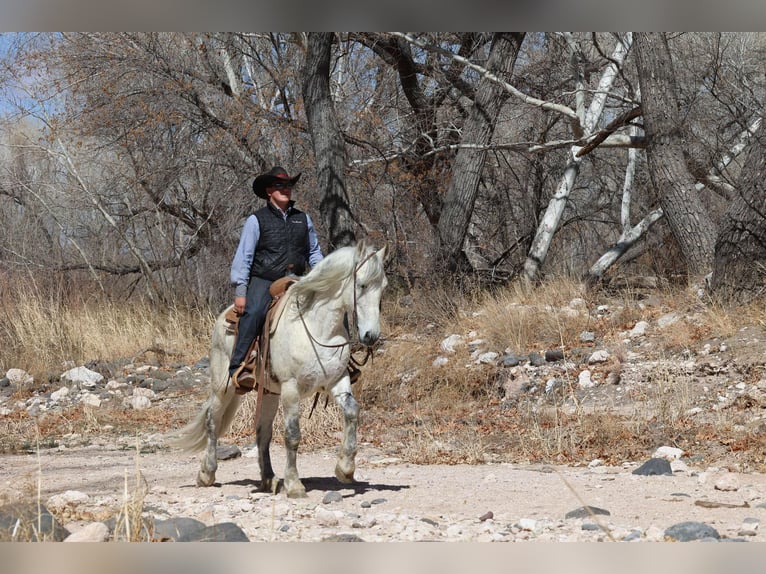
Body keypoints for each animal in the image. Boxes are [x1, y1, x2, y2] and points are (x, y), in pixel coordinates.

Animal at [168, 239, 388, 498]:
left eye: (383, 287)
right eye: (361, 285)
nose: (371, 336)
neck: (317, 327)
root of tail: (224, 315)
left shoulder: (337, 380)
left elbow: (352, 411)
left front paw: (345, 469)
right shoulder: (291, 388)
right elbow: (292, 435)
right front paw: (294, 484)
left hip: (269, 393)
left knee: (263, 432)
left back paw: (269, 479)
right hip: (223, 387)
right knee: (213, 421)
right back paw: (207, 474)